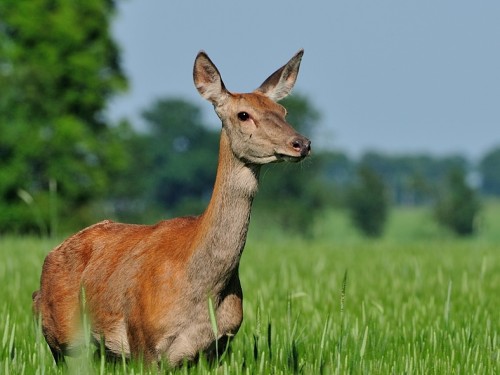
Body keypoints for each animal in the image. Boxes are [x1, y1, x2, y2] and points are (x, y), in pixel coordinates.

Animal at [32, 49, 308, 368]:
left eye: (283, 112)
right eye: (243, 114)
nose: (301, 143)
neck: (203, 292)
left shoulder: (218, 347)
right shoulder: (143, 340)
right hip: (61, 336)